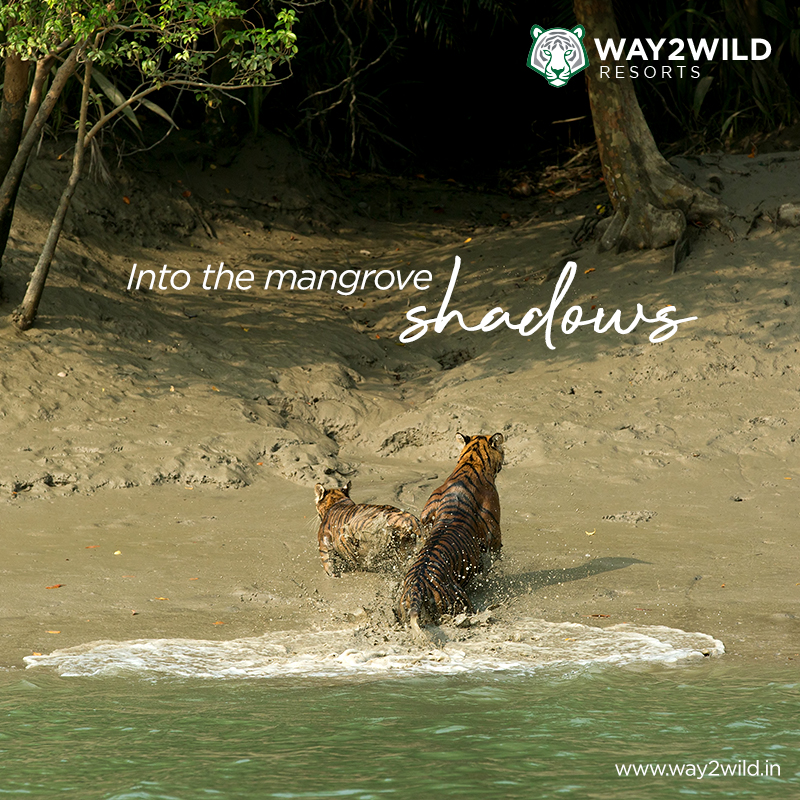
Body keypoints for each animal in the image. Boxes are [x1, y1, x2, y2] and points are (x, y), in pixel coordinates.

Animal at [395, 432, 504, 637]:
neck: (470, 462)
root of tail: (417, 588)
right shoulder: (493, 528)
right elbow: (494, 554)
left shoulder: (428, 511)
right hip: (460, 601)